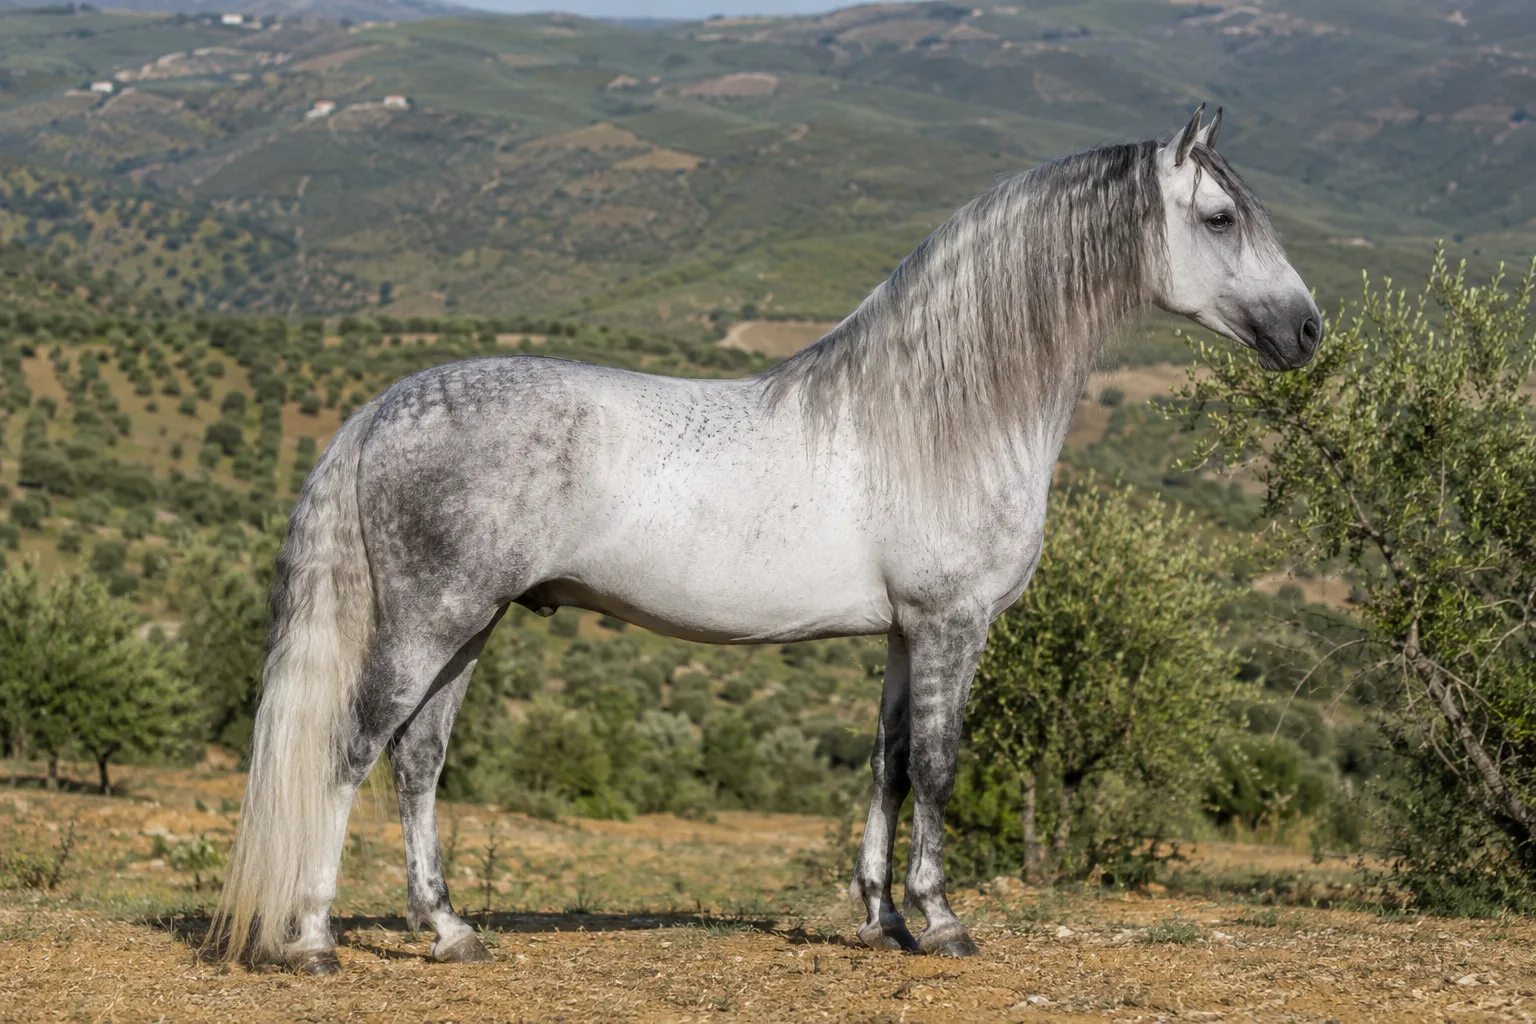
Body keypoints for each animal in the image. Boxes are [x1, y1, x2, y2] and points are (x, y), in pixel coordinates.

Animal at [213, 106, 1322, 972]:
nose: (1308, 332)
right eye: (1220, 217)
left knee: (419, 762)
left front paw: (881, 921)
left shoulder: (901, 633)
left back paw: (449, 930)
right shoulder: (952, 624)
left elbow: (886, 765)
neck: (942, 413)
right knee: (353, 749)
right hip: (430, 621)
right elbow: (940, 764)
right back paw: (312, 938)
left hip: (470, 625)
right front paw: (943, 922)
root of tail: (383, 408)